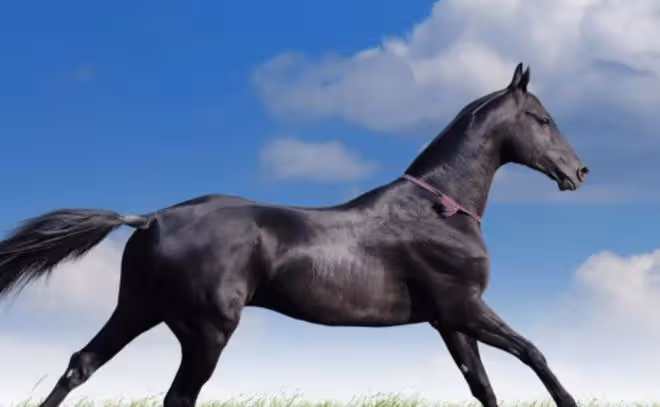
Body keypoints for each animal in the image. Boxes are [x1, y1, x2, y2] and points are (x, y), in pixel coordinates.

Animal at [0, 63, 589, 407]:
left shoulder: (448, 320)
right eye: (542, 118)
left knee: (82, 364)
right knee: (176, 397)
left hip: (139, 309)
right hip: (205, 331)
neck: (439, 209)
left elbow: (482, 386)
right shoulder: (463, 306)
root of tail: (152, 218)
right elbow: (533, 353)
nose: (579, 172)